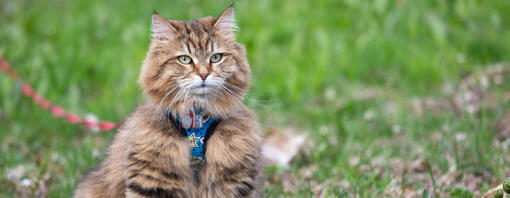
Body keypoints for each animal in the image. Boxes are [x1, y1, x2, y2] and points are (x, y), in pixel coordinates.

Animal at [74, 5, 262, 197]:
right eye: (184, 59)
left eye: (216, 57)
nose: (203, 74)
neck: (197, 118)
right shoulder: (152, 177)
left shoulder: (232, 179)